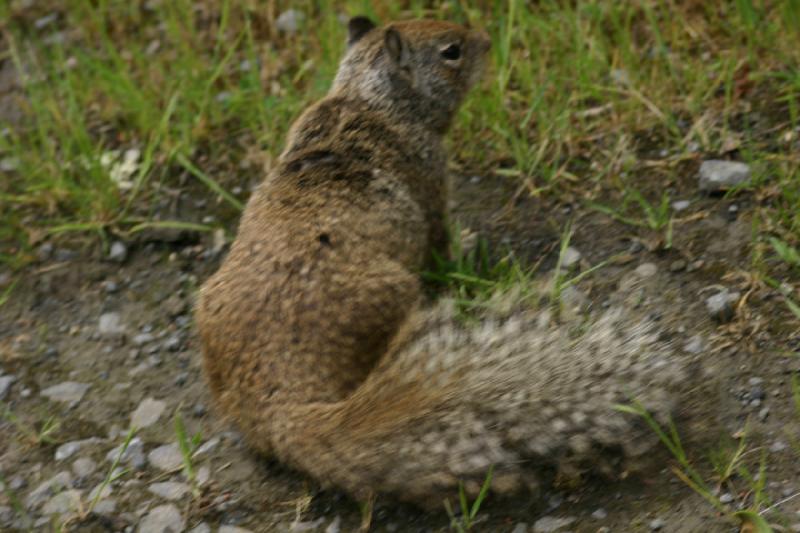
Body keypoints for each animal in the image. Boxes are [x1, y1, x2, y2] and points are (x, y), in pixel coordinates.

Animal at [195, 16, 688, 504]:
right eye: (451, 50)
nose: (487, 41)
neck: (367, 97)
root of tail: (276, 407)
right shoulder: (433, 184)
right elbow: (443, 245)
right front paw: (469, 249)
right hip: (396, 293)